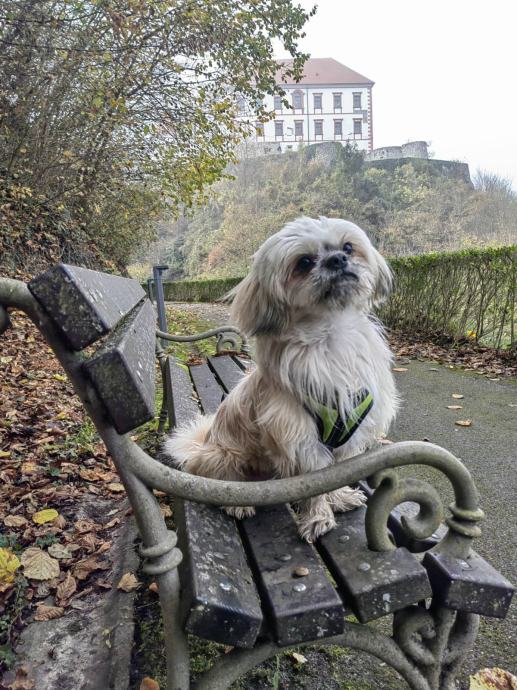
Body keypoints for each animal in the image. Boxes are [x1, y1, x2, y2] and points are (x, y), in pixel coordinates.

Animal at [164, 216, 397, 541]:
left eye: (349, 247)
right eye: (304, 262)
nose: (338, 259)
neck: (330, 338)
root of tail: (201, 446)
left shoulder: (349, 434)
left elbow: (335, 476)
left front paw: (338, 499)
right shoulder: (299, 439)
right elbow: (315, 484)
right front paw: (318, 518)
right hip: (223, 456)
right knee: (226, 485)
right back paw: (238, 504)